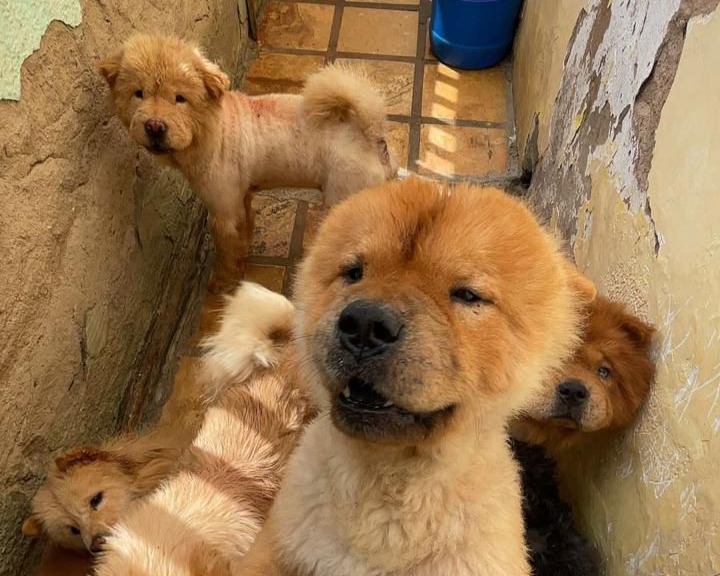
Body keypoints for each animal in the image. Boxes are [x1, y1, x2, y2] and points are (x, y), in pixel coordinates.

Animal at [98, 34, 395, 291]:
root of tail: (370, 133)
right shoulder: (241, 197)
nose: (155, 126)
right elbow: (245, 229)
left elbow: (227, 253)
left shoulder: (222, 211)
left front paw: (223, 283)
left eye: (180, 99)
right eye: (139, 93)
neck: (212, 129)